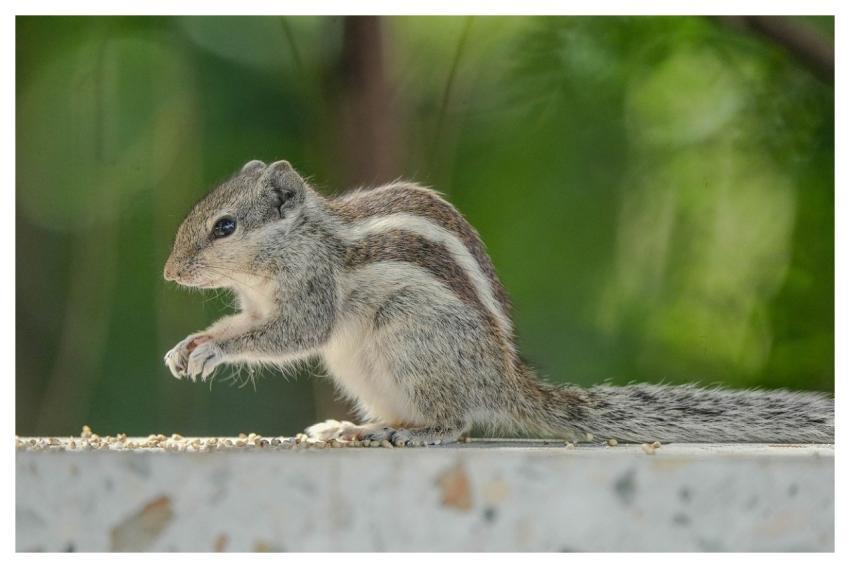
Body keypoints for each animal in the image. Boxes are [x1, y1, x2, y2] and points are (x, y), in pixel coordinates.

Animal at [163, 159, 834, 446]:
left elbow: (290, 334)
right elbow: (248, 323)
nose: (170, 272)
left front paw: (215, 351)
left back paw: (416, 435)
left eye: (224, 227)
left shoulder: (312, 289)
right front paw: (191, 345)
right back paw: (355, 426)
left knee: (458, 420)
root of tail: (503, 381)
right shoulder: (260, 301)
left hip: (413, 343)